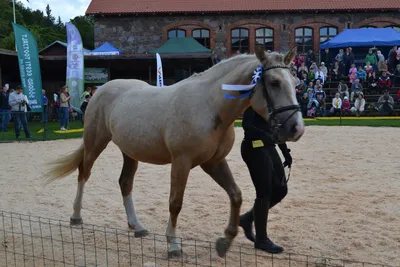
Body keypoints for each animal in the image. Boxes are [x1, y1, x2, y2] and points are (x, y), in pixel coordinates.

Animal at [44, 45, 304, 260]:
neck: (210, 106)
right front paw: (173, 245)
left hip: (130, 152)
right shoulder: (182, 161)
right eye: (273, 82)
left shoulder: (214, 162)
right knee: (83, 173)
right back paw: (76, 216)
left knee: (125, 183)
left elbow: (236, 195)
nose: (296, 128)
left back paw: (137, 226)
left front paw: (225, 240)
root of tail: (101, 90)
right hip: (95, 143)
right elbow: (175, 203)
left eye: (295, 82)